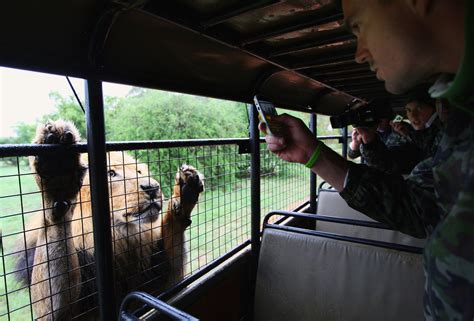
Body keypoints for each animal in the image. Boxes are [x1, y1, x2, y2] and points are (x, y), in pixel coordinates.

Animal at [13, 119, 203, 320]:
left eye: (139, 171)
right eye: (111, 174)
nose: (152, 188)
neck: (121, 234)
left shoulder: (162, 279)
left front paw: (184, 193)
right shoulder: (62, 312)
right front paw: (58, 176)